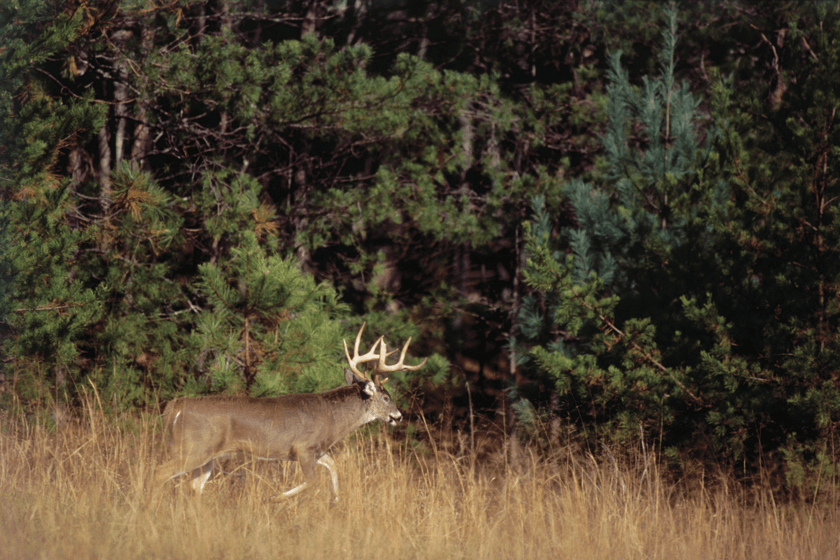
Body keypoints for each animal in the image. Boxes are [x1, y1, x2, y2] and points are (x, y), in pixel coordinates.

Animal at [153, 322, 426, 500]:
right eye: (387, 397)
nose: (398, 416)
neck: (333, 419)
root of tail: (174, 407)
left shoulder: (316, 450)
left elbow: (333, 468)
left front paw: (336, 500)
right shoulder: (304, 447)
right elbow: (313, 481)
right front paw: (276, 497)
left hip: (206, 456)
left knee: (193, 486)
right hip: (193, 447)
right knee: (160, 472)